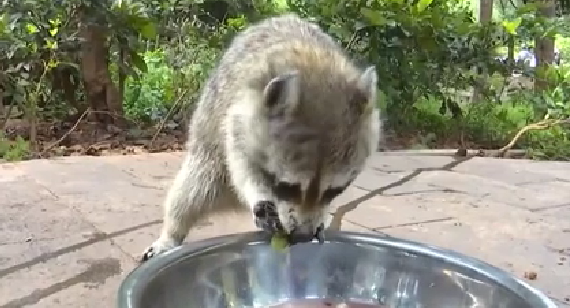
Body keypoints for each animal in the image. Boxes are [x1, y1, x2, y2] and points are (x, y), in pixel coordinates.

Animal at [141, 13, 382, 262]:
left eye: (335, 190)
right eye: (288, 186)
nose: (303, 235)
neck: (316, 67)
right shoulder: (239, 114)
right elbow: (240, 163)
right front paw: (257, 192)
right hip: (208, 156)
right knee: (191, 191)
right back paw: (172, 232)